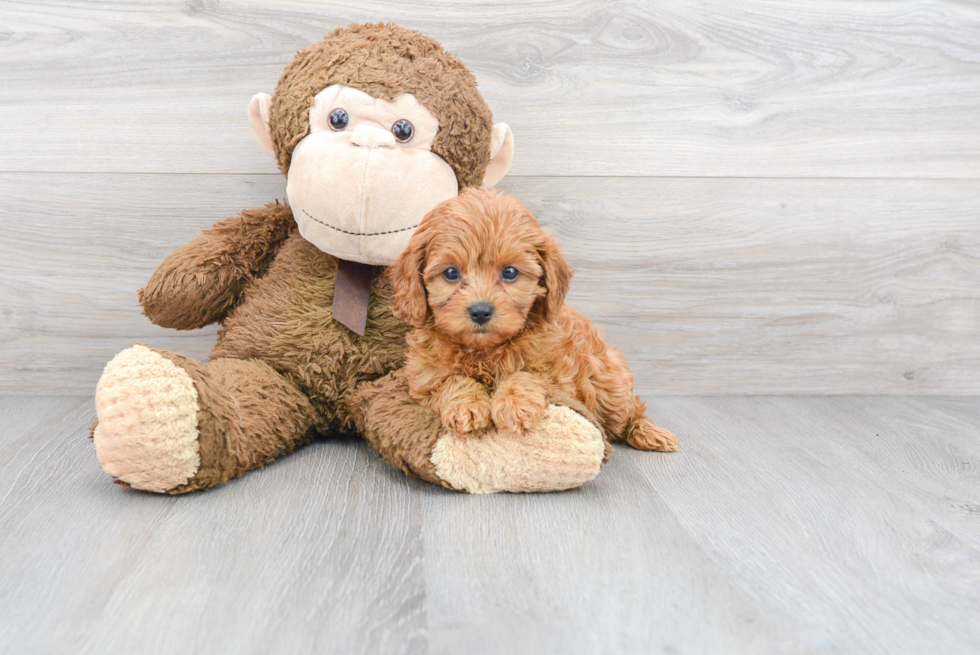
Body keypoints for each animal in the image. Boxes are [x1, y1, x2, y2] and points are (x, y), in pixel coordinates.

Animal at [386, 188, 676, 452]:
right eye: (450, 273)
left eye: (510, 272)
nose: (480, 311)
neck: (484, 351)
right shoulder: (425, 379)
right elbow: (451, 381)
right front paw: (466, 406)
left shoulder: (558, 374)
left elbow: (525, 374)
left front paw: (515, 405)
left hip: (610, 384)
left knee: (629, 412)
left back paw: (649, 433)